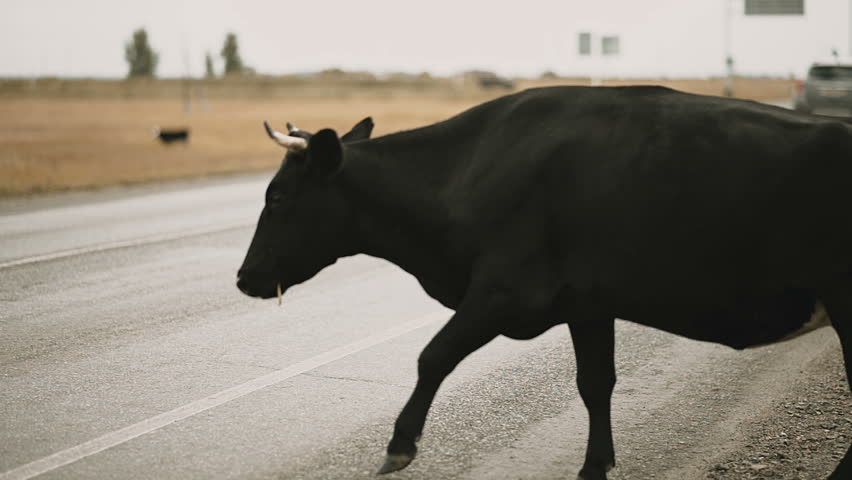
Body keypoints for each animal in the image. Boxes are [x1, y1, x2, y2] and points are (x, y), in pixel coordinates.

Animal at [236, 87, 852, 480]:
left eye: (278, 196)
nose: (244, 277)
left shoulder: (503, 291)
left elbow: (433, 356)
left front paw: (399, 446)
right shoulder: (588, 303)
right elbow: (595, 384)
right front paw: (594, 466)